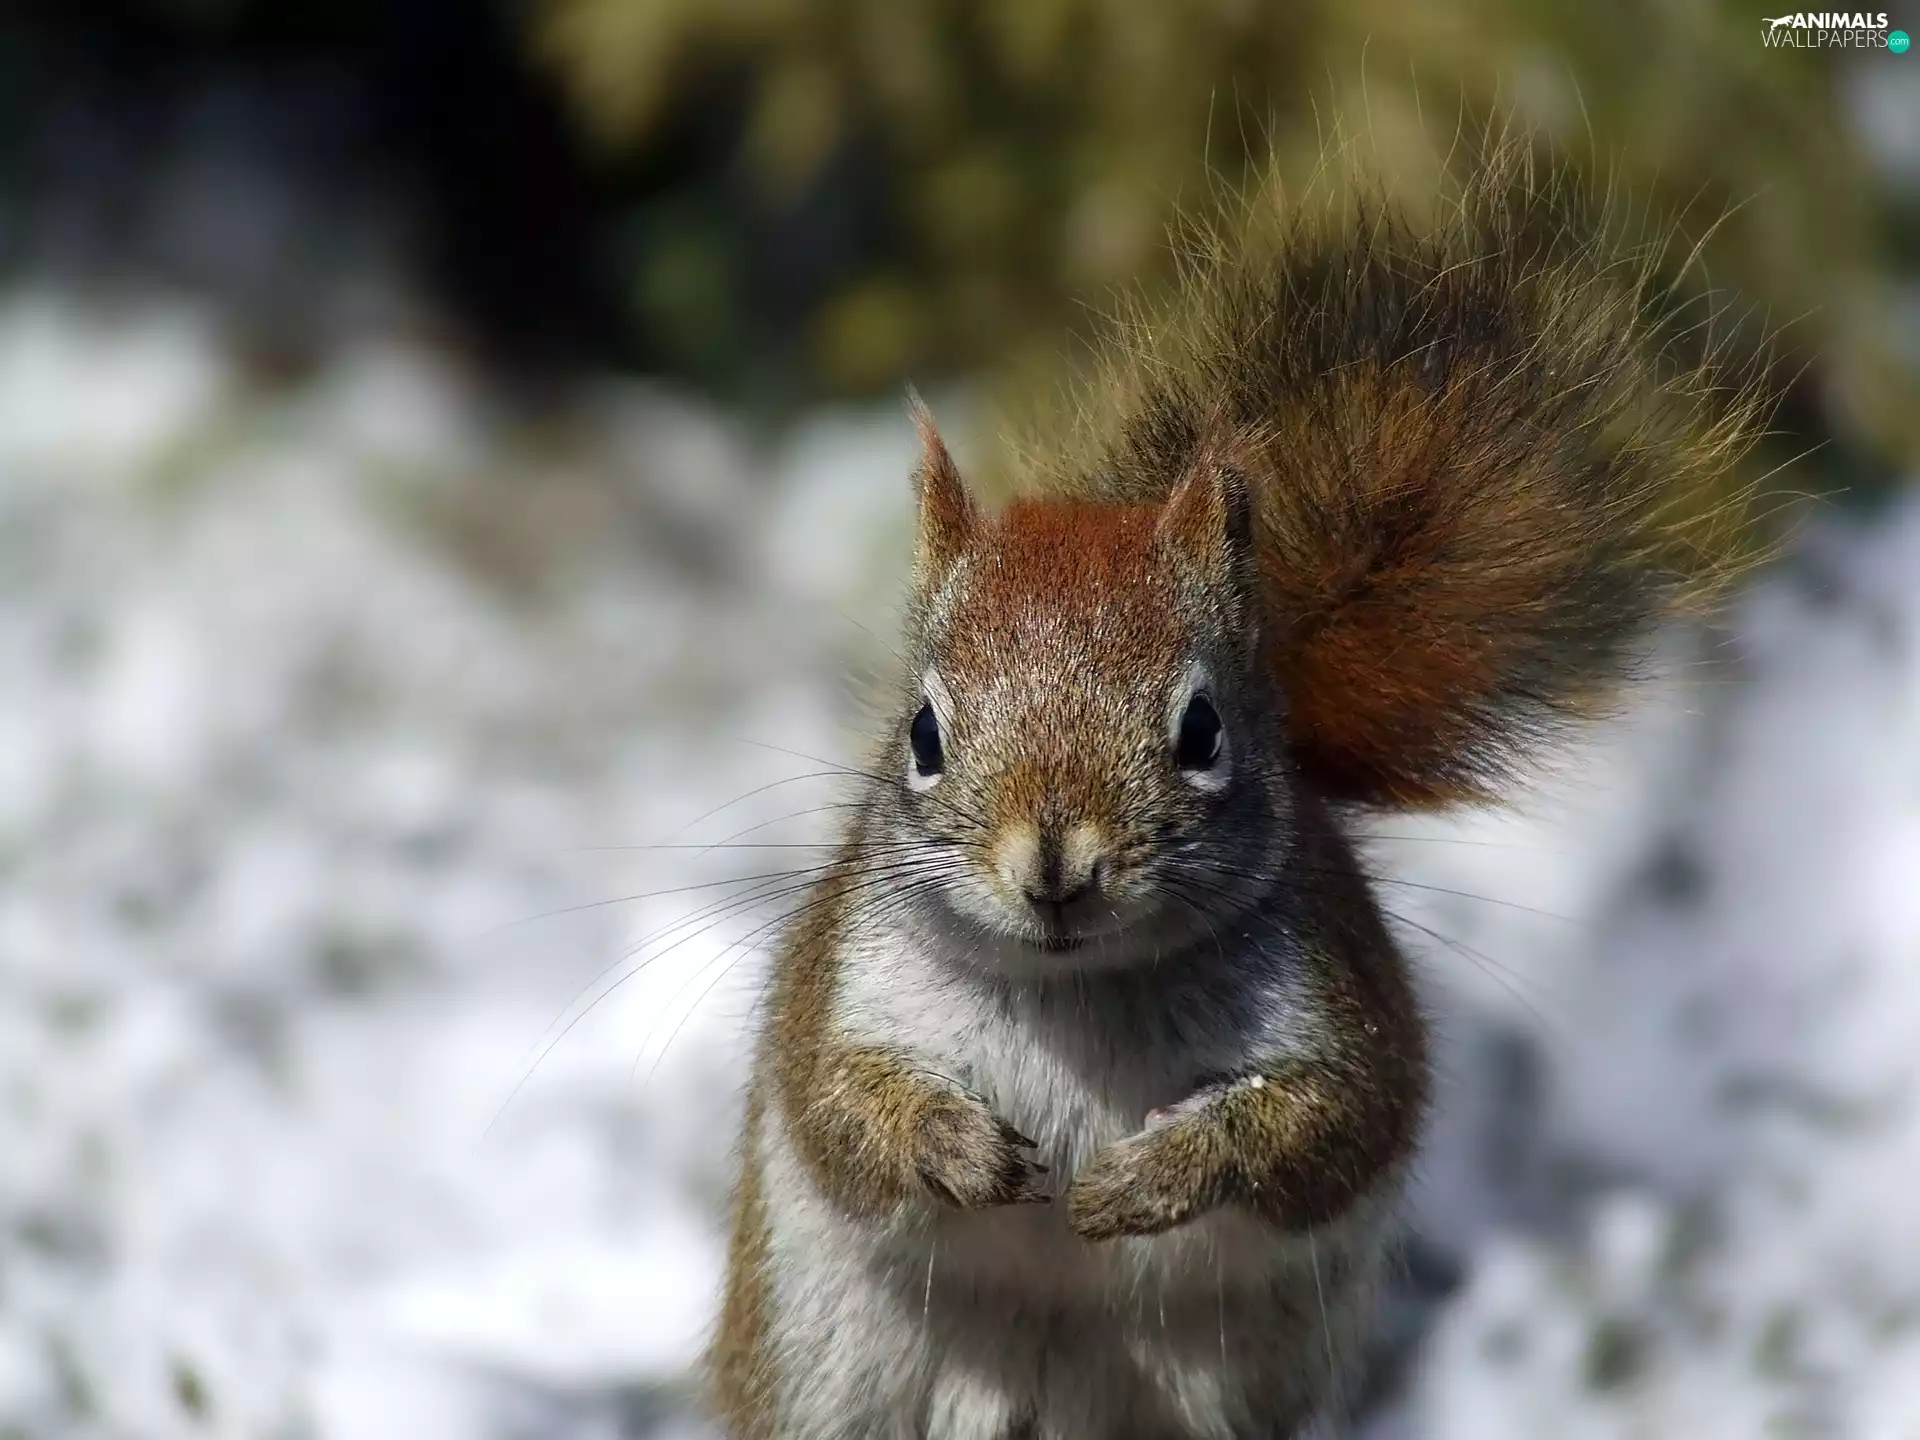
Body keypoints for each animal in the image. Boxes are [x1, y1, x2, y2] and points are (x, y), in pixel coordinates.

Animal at [708, 142, 1767, 1439]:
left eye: (1202, 729)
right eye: (922, 733)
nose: (1054, 866)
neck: (1082, 996)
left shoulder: (1343, 1012)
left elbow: (1320, 1129)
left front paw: (1153, 1174)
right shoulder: (838, 988)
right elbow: (839, 1107)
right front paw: (958, 1146)